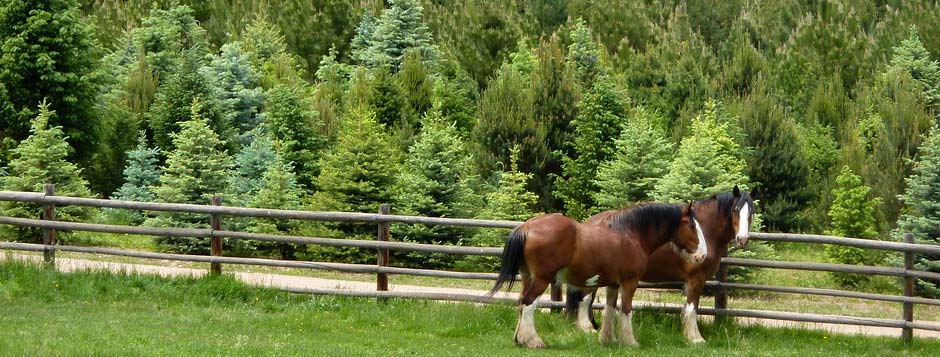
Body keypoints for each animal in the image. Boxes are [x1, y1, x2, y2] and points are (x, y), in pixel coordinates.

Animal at [488, 203, 700, 348]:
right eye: (691, 225)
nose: (700, 256)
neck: (631, 234)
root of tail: (526, 227)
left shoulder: (614, 284)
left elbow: (610, 310)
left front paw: (609, 339)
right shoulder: (630, 282)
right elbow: (626, 310)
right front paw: (630, 342)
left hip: (528, 277)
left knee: (520, 303)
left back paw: (519, 339)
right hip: (542, 279)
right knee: (529, 304)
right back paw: (533, 341)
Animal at [564, 185, 756, 340]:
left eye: (751, 212)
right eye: (735, 210)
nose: (742, 239)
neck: (706, 230)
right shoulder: (696, 278)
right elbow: (692, 308)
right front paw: (695, 338)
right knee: (585, 299)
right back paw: (587, 328)